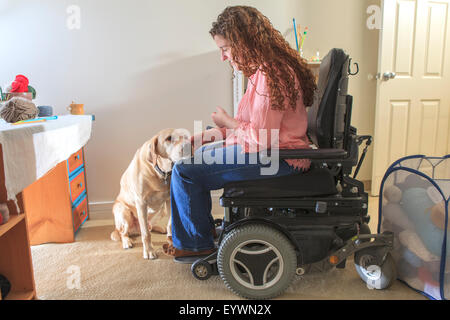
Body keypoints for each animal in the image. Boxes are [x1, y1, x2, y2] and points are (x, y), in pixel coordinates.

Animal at [112, 128, 192, 260]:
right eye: (169, 138)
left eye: (186, 137)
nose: (187, 146)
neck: (160, 172)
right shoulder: (141, 203)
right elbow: (146, 234)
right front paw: (149, 251)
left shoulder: (169, 200)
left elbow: (170, 224)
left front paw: (172, 241)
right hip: (124, 212)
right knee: (124, 232)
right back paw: (127, 241)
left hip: (161, 210)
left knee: (150, 226)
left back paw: (160, 228)